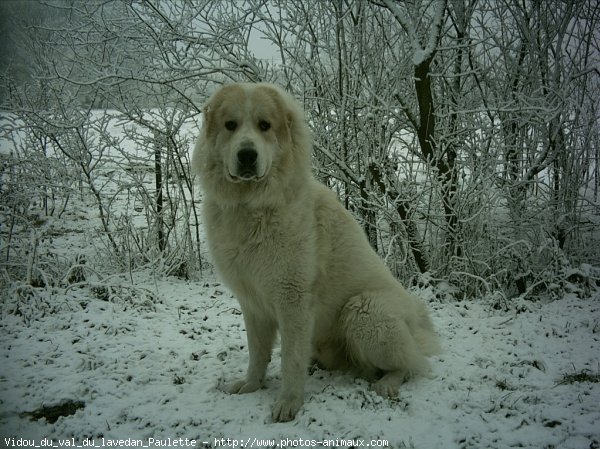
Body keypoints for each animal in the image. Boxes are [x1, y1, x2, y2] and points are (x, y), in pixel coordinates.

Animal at [193, 81, 440, 420]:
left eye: (264, 125)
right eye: (231, 125)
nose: (246, 155)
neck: (252, 206)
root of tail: (417, 318)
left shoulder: (293, 299)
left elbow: (290, 359)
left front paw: (288, 402)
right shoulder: (252, 303)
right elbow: (258, 352)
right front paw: (251, 385)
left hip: (363, 311)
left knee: (412, 363)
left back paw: (388, 382)